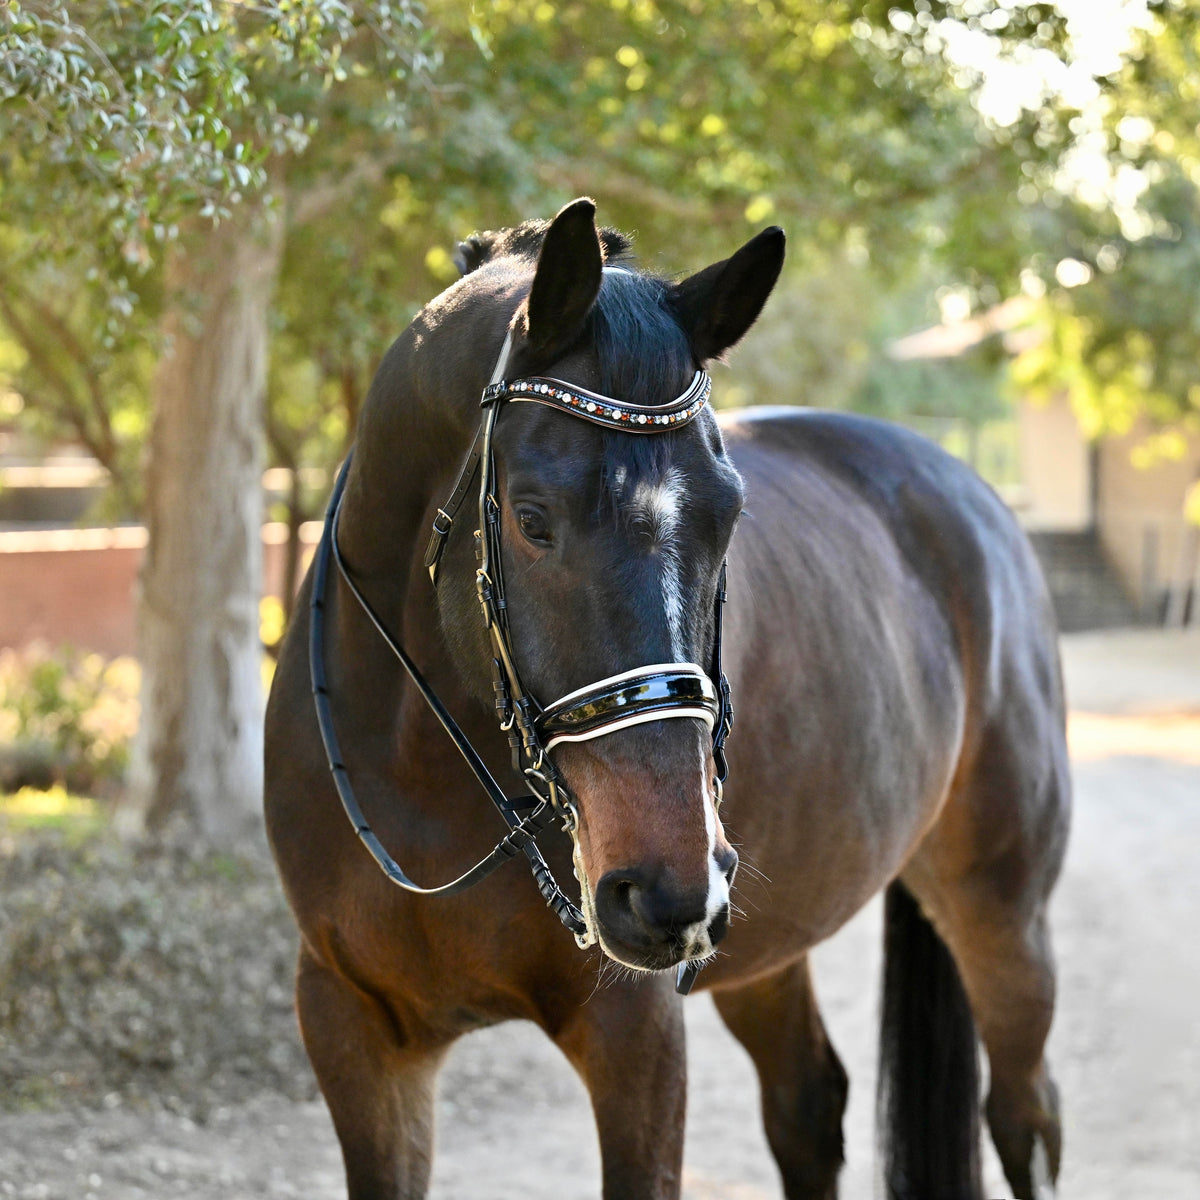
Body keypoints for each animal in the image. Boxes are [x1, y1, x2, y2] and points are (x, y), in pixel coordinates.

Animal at [265, 199, 1070, 1200]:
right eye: (531, 519)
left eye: (730, 517)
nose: (667, 888)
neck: (421, 775)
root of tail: (970, 494)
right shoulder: (355, 1030)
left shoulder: (635, 1036)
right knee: (809, 1106)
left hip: (1004, 915)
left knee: (1024, 1117)